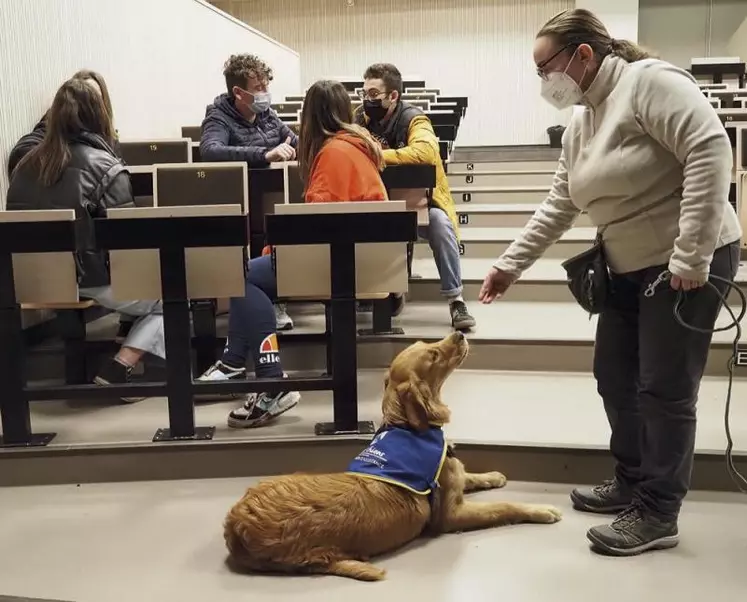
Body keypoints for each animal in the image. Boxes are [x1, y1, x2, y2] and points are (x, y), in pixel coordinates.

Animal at [225, 330, 564, 580]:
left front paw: (493, 476)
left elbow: (470, 475)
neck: (409, 426)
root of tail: (235, 529)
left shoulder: (453, 479)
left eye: (426, 344)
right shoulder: (451, 515)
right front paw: (541, 509)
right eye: (433, 355)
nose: (458, 333)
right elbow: (504, 507)